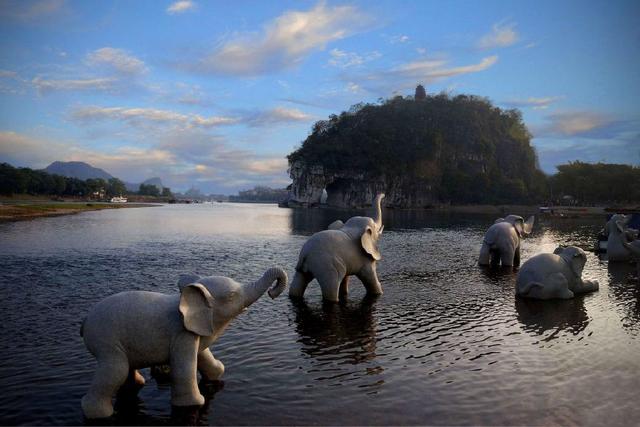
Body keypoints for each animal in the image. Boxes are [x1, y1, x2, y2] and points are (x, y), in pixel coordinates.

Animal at [80, 270, 288, 420]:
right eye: (231, 296)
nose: (272, 293)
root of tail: (85, 321)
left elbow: (203, 354)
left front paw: (217, 372)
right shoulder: (182, 335)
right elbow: (186, 365)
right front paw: (194, 403)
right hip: (106, 341)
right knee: (116, 369)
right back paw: (100, 415)